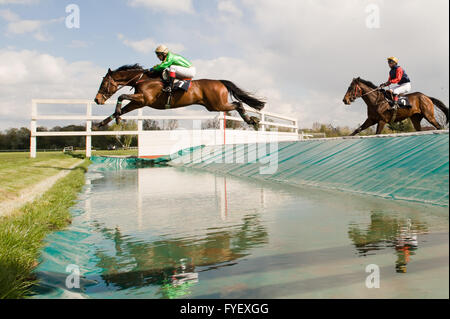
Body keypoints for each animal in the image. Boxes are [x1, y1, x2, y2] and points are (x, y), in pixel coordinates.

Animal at [93, 64, 266, 131]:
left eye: (104, 83)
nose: (97, 100)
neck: (142, 79)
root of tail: (220, 81)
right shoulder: (138, 103)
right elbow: (121, 108)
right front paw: (101, 124)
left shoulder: (143, 99)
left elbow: (121, 95)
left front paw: (116, 118)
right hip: (214, 105)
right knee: (238, 103)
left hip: (217, 104)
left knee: (238, 104)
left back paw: (252, 121)